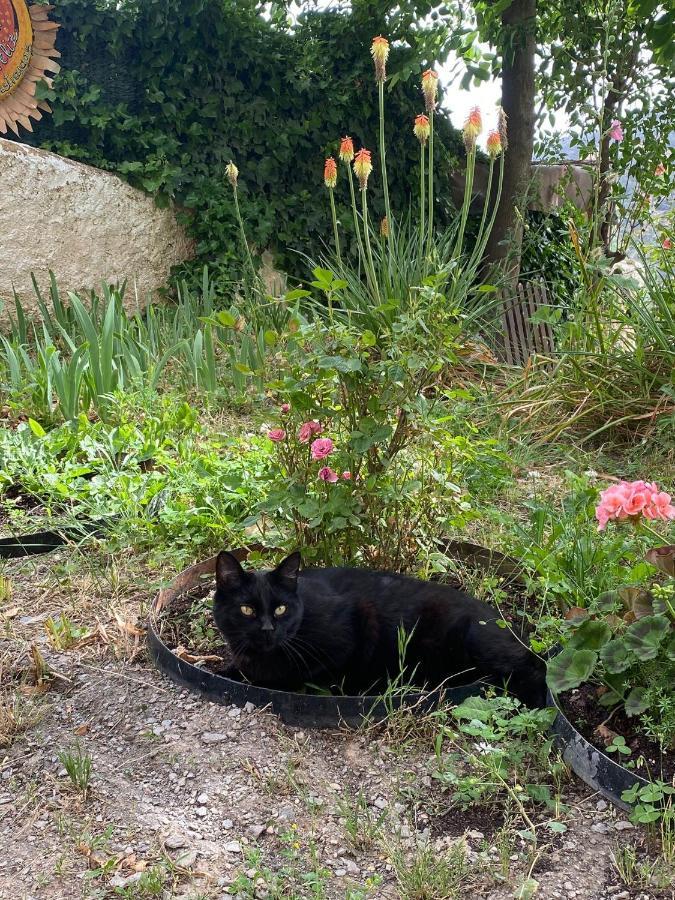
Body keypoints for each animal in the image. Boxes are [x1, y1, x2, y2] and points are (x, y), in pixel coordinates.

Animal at [214, 548, 548, 712]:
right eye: (247, 610)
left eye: (281, 609)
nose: (268, 629)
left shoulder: (353, 628)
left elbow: (296, 675)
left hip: (476, 641)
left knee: (533, 671)